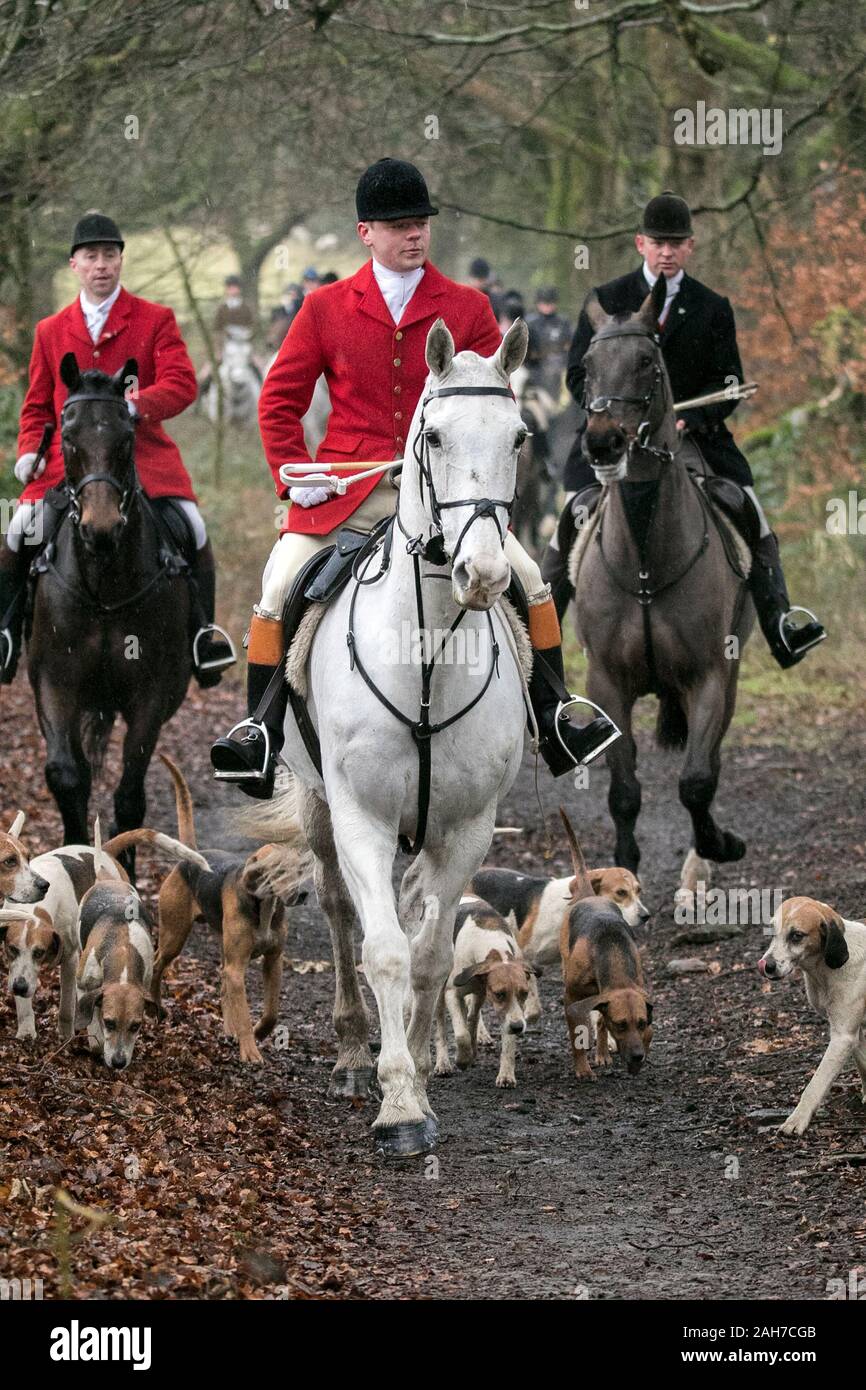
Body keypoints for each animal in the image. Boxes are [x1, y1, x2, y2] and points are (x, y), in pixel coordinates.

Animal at [25, 358, 193, 872]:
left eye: (126, 438)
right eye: (66, 437)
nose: (100, 529)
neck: (102, 584)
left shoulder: (150, 693)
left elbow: (129, 796)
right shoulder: (54, 683)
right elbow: (67, 776)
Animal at [575, 280, 750, 884]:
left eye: (647, 362)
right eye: (586, 367)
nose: (603, 441)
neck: (647, 559)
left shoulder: (710, 675)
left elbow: (696, 781)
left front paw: (719, 844)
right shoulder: (607, 681)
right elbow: (624, 792)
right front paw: (622, 870)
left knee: (709, 763)